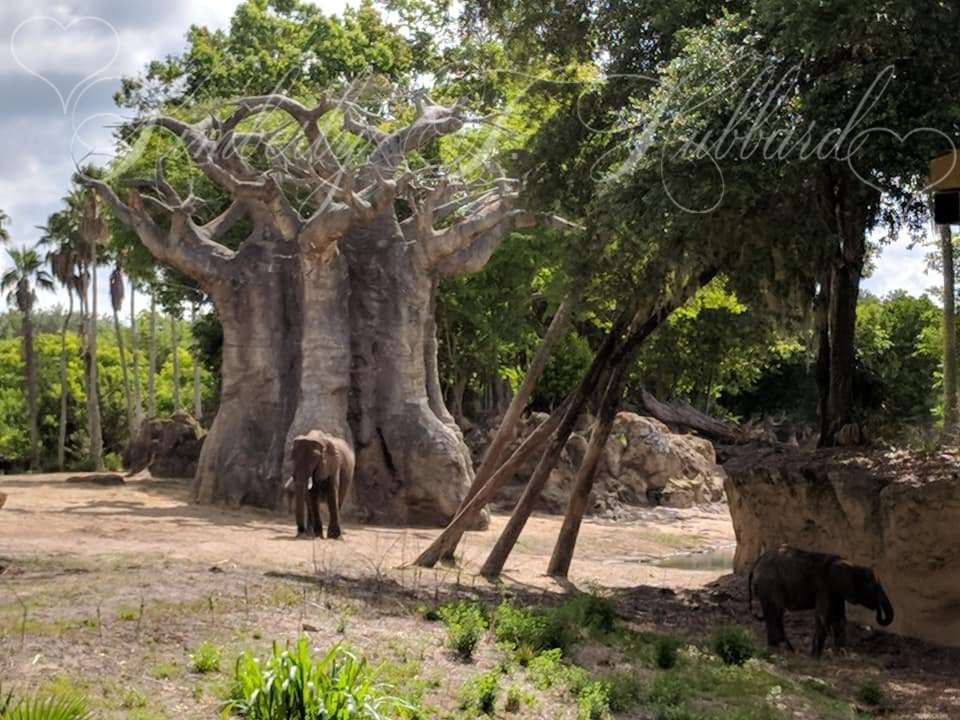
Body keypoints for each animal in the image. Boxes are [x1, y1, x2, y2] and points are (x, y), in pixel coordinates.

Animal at [752, 544, 892, 660]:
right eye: (874, 587)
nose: (878, 611)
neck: (851, 565)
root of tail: (757, 562)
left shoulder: (836, 592)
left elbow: (839, 619)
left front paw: (841, 654)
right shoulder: (824, 586)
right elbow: (823, 615)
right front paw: (816, 656)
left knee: (773, 614)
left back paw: (780, 648)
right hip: (770, 583)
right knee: (776, 613)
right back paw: (781, 649)